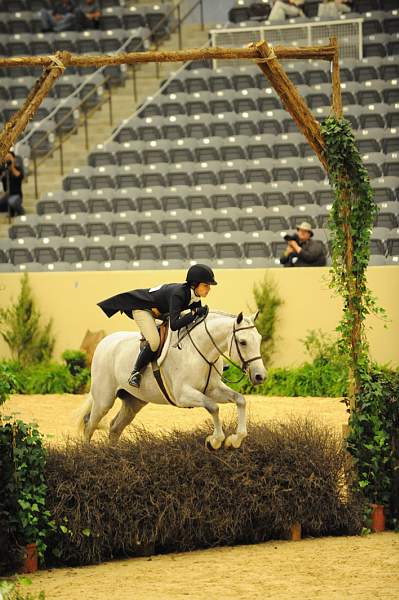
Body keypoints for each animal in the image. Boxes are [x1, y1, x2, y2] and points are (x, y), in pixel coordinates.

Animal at [76, 312, 268, 448]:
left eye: (259, 339)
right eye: (242, 342)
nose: (260, 376)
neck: (202, 351)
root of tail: (103, 342)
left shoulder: (213, 389)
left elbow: (240, 400)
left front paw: (234, 440)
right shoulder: (183, 395)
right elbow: (213, 407)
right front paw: (214, 441)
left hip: (134, 402)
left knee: (115, 427)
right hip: (104, 400)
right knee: (89, 425)